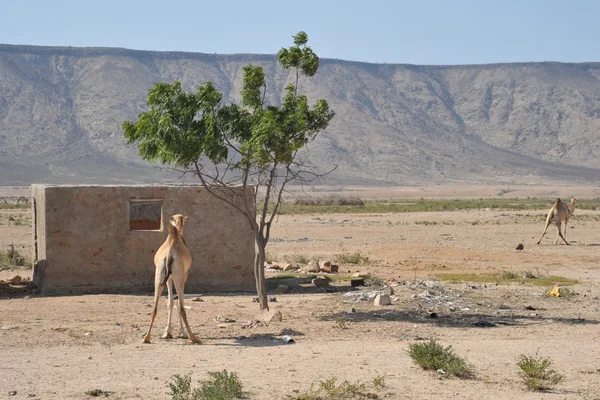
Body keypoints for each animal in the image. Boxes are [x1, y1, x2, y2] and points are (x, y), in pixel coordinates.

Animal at [142, 214, 200, 342]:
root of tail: (169, 255)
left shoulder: (168, 278)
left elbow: (170, 302)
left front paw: (167, 333)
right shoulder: (184, 275)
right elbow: (177, 302)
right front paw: (180, 332)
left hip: (159, 277)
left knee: (155, 307)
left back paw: (146, 338)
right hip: (179, 277)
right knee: (182, 307)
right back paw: (193, 337)